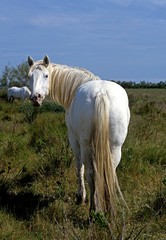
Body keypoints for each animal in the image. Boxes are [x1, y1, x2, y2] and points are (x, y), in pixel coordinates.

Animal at [27, 55, 130, 217]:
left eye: (46, 75)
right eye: (29, 76)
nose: (35, 98)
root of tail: (101, 94)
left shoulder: (74, 141)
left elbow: (79, 168)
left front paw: (80, 197)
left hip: (86, 145)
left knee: (90, 174)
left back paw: (93, 209)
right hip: (115, 147)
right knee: (110, 173)